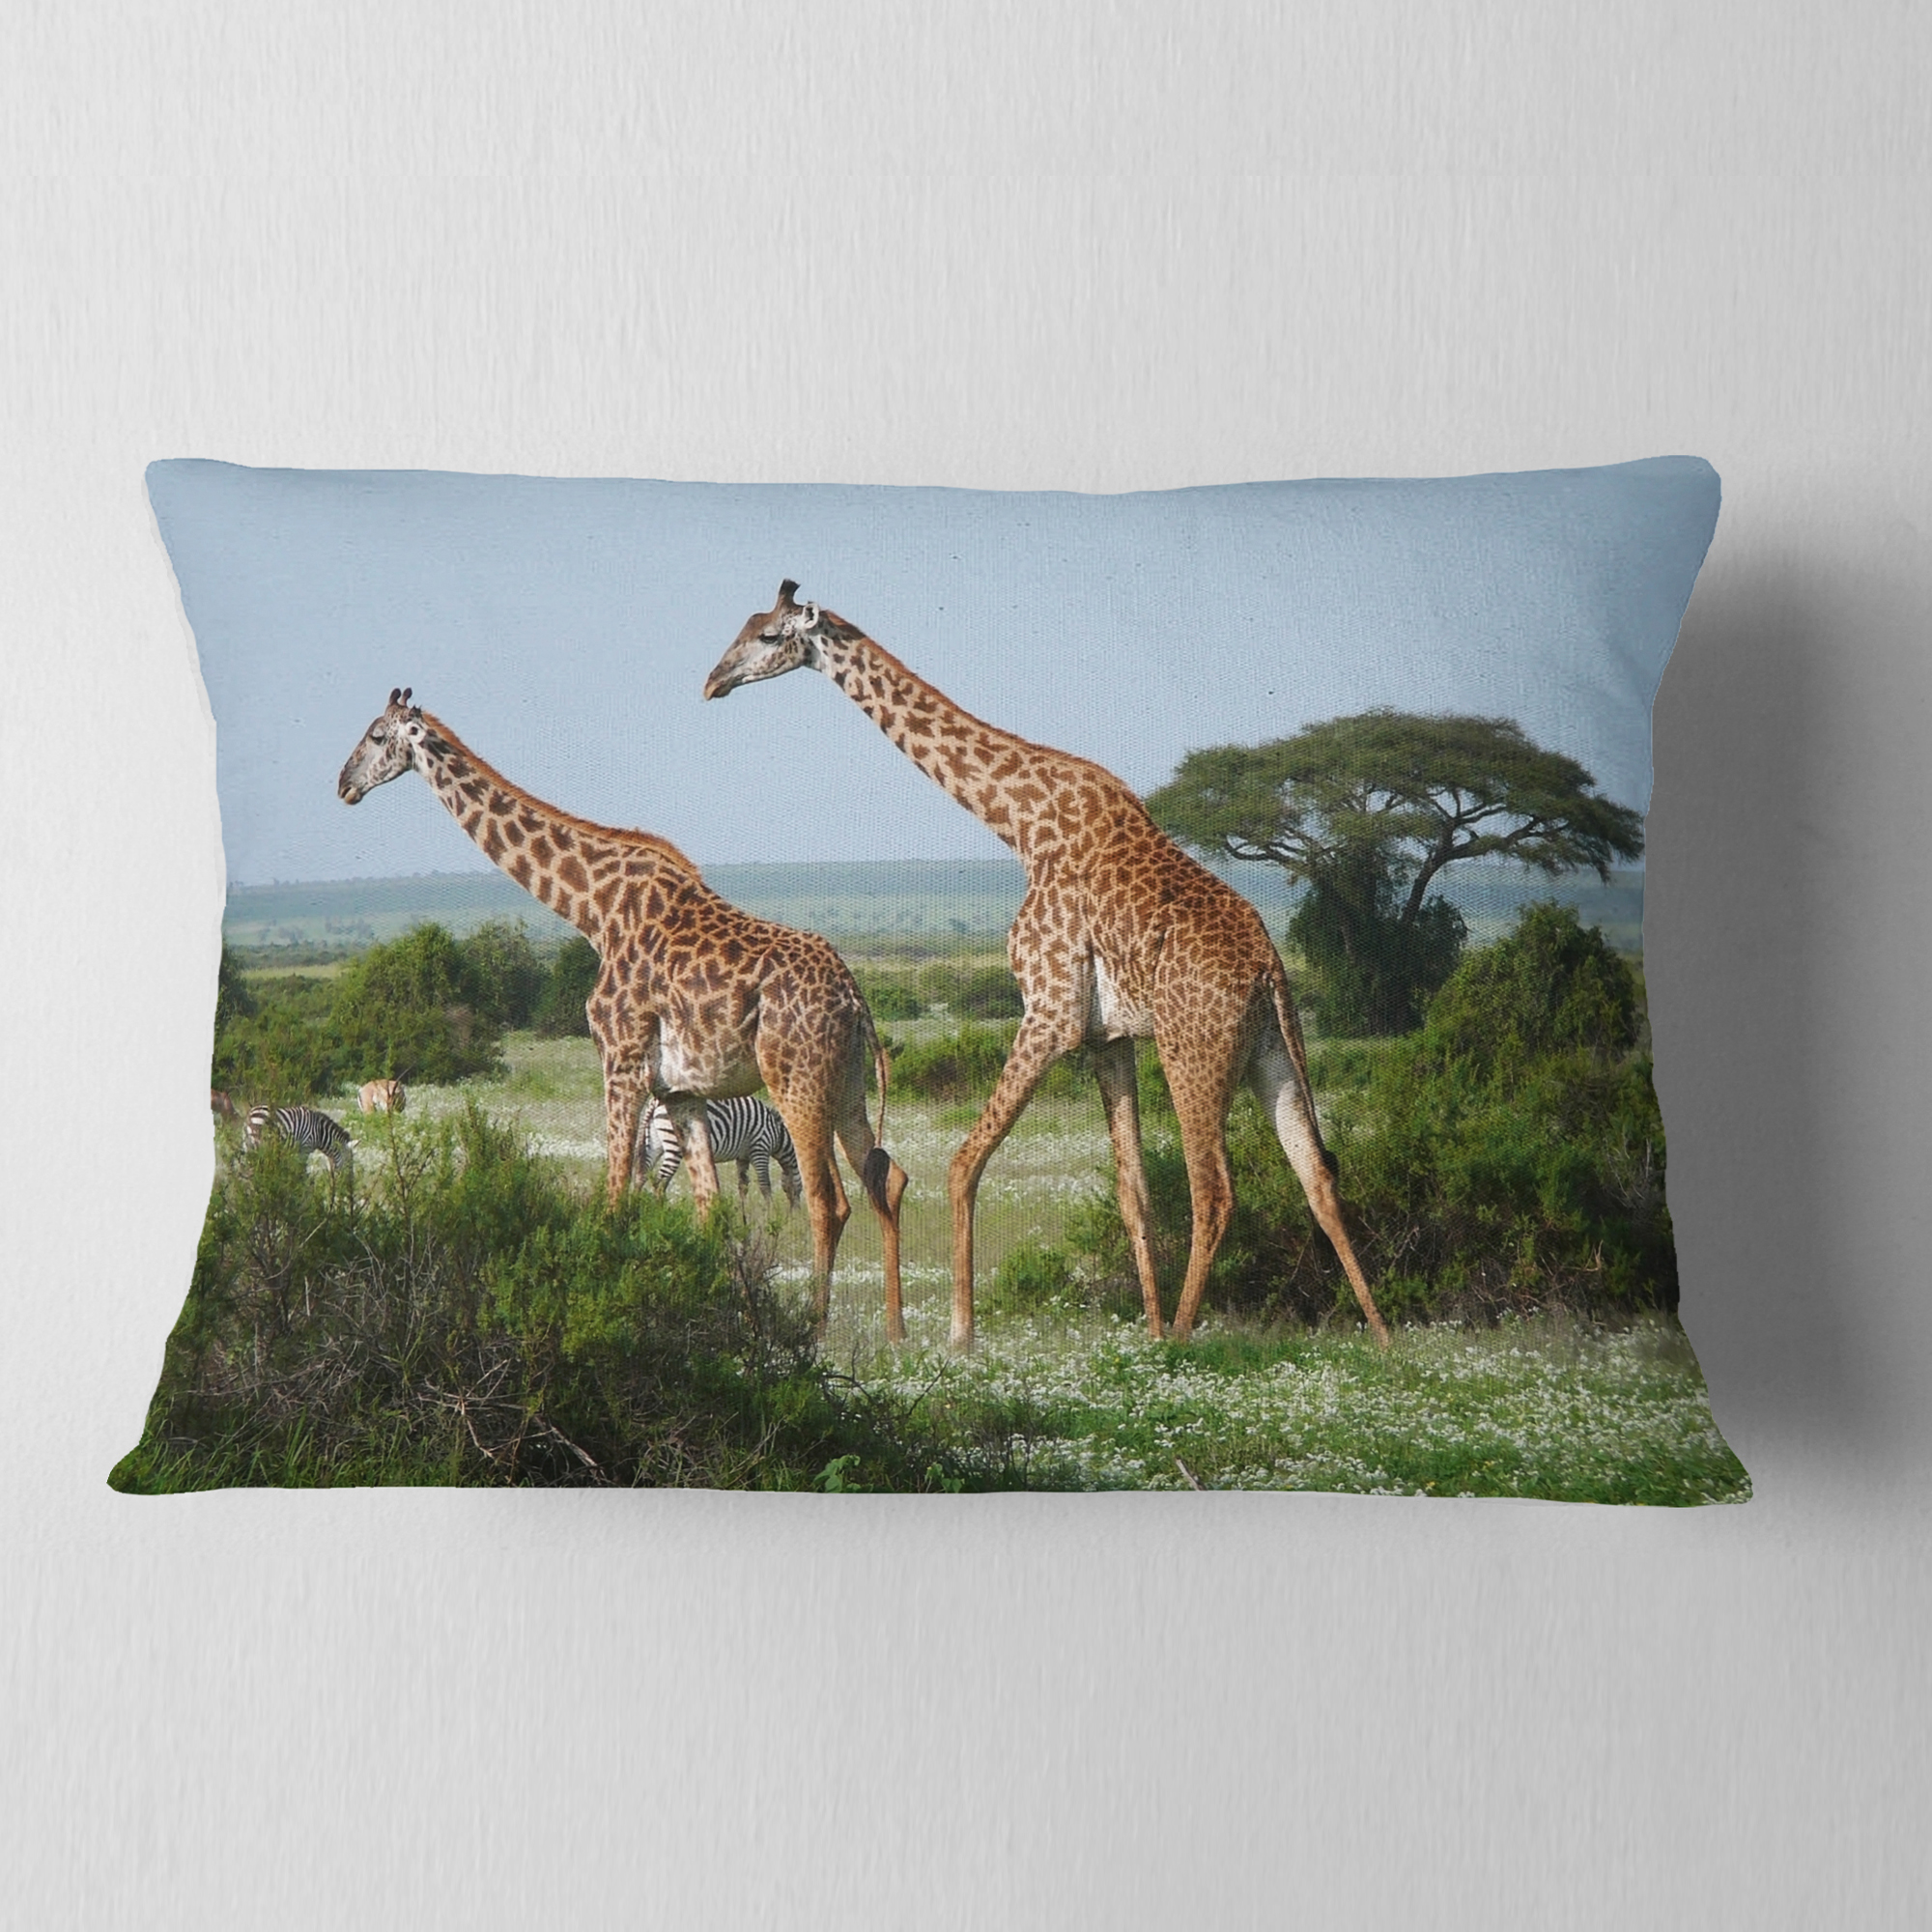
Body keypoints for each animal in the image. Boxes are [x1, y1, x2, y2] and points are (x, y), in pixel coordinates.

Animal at [337, 689, 910, 1339]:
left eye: (377, 736)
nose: (344, 783)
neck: (592, 910)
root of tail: (855, 998)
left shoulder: (621, 1061)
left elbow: (614, 1200)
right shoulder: (679, 1090)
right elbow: (708, 1211)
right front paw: (722, 1320)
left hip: (796, 1080)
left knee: (827, 1201)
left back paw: (813, 1333)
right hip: (848, 1083)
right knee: (885, 1179)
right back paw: (897, 1332)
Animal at [704, 584, 1389, 1353]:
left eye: (768, 636)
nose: (713, 681)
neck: (1021, 822)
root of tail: (1270, 968)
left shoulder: (1050, 1010)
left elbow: (964, 1163)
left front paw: (961, 1334)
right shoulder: (1108, 1038)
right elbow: (1133, 1192)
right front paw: (1146, 1327)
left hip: (1194, 1049)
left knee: (1214, 1189)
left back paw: (1185, 1338)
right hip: (1272, 1049)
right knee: (1318, 1174)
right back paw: (1383, 1340)